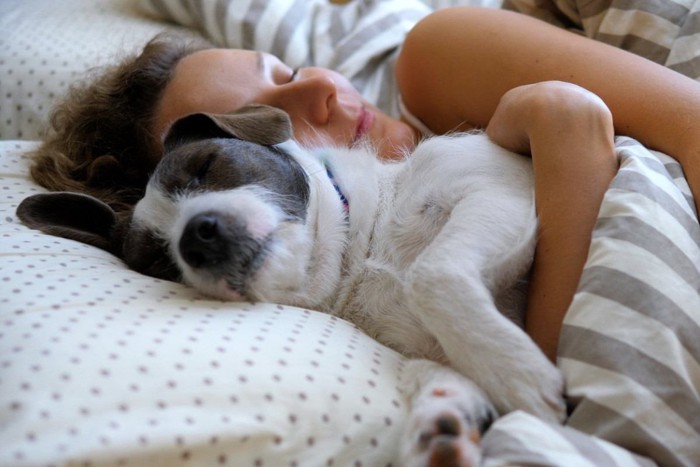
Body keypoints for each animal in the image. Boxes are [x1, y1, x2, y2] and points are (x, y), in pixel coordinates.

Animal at [17, 104, 564, 466]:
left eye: (205, 165)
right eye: (157, 259)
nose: (195, 236)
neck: (362, 250)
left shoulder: (497, 192)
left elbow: (432, 274)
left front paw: (520, 376)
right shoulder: (422, 347)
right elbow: (438, 371)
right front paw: (443, 425)